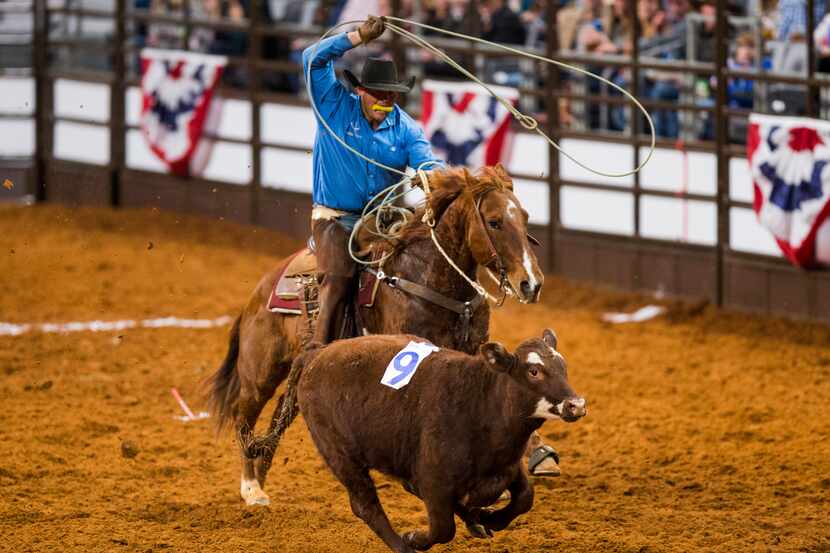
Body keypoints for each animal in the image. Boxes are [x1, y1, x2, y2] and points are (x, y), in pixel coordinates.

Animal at [207, 164, 544, 504]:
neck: (427, 277)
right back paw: (251, 487)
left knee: (279, 416)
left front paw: (537, 455)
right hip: (260, 373)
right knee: (243, 415)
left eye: (525, 217)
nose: (531, 283)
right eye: (494, 221)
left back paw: (261, 482)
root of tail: (258, 293)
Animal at [296, 330, 588, 548]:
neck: (481, 403)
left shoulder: (506, 466)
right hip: (340, 454)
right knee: (365, 505)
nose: (576, 405)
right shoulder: (434, 480)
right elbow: (442, 529)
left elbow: (525, 496)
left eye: (563, 367)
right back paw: (404, 546)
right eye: (534, 371)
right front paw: (414, 537)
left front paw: (489, 519)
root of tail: (317, 354)